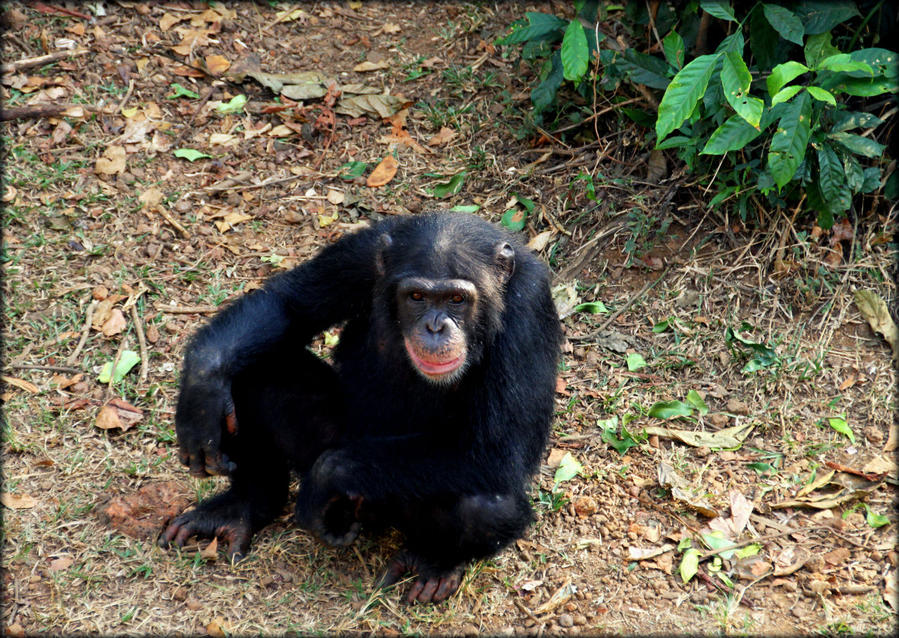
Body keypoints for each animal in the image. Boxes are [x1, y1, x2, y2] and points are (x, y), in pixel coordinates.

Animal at [158, 214, 560, 604]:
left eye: (457, 300)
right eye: (417, 296)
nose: (435, 326)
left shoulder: (528, 309)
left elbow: (498, 450)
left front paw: (325, 478)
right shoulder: (361, 254)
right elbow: (289, 304)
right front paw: (202, 386)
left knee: (488, 505)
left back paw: (435, 564)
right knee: (254, 372)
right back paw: (242, 507)